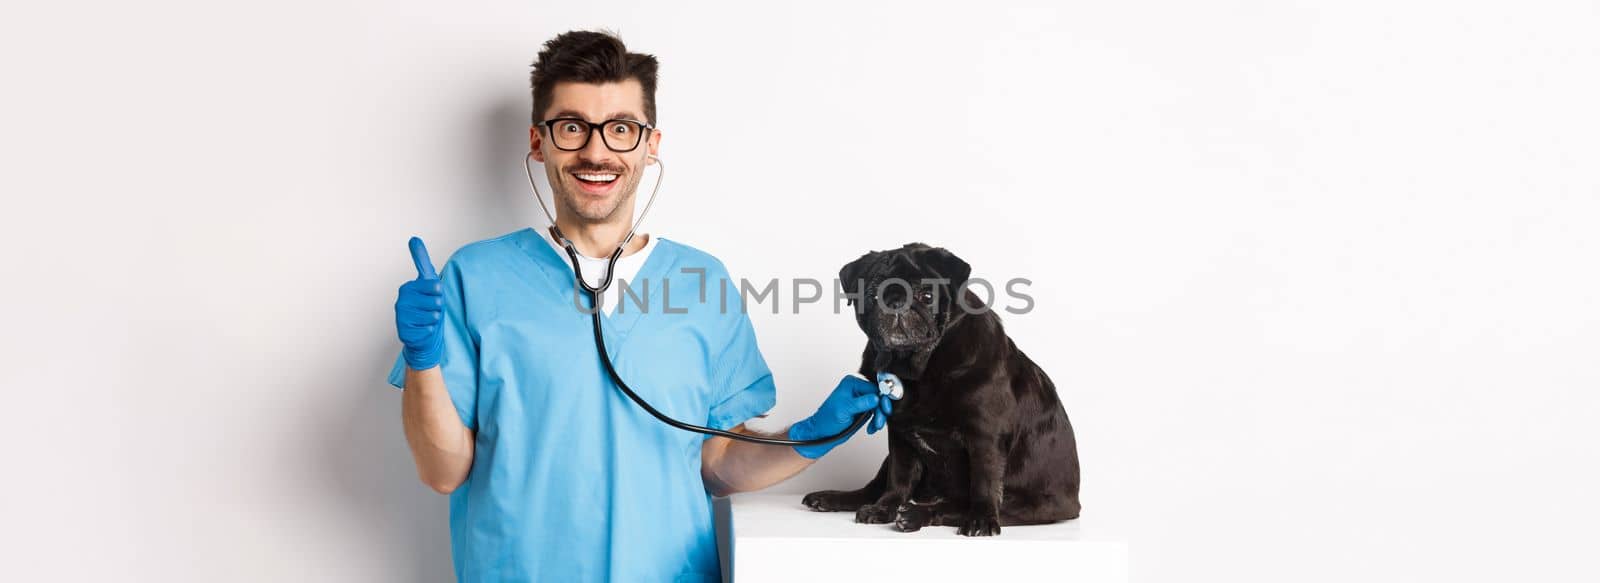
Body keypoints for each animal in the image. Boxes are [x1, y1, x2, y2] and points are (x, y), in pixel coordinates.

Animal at [806, 241, 1081, 538]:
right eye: (872, 294)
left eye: (927, 295)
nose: (896, 302)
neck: (920, 368)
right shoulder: (900, 435)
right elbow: (899, 478)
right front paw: (884, 508)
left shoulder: (985, 436)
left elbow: (984, 483)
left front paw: (981, 520)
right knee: (875, 488)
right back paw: (836, 499)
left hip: (1033, 503)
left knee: (963, 504)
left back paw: (917, 514)